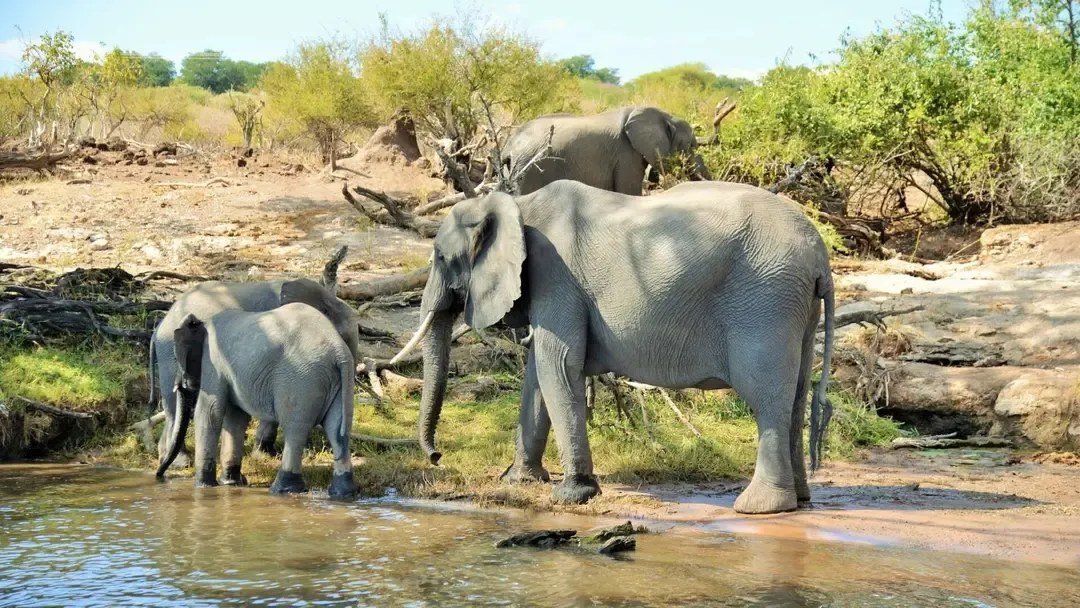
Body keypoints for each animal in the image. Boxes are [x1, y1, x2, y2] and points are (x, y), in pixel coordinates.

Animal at [149, 278, 359, 470]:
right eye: (344, 338)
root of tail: (159, 326)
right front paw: (264, 455)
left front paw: (266, 454)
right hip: (168, 354)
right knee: (174, 406)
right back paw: (180, 463)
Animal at [393, 179, 836, 514]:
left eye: (440, 257)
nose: (436, 457)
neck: (516, 205)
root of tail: (819, 253)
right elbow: (539, 374)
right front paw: (518, 481)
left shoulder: (556, 277)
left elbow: (558, 366)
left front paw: (571, 495)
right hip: (794, 306)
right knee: (796, 396)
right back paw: (799, 500)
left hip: (765, 301)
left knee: (766, 395)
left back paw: (758, 508)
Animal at [500, 106, 712, 195]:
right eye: (692, 146)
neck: (665, 114)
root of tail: (508, 146)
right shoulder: (626, 154)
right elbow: (628, 191)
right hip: (528, 170)